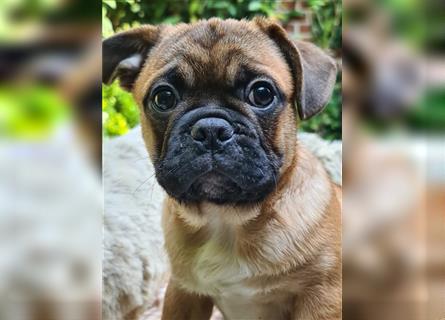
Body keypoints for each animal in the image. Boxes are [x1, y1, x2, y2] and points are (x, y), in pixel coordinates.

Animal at [103, 18, 340, 320]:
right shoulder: (184, 292)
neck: (227, 219)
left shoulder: (322, 297)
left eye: (262, 94)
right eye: (163, 97)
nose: (211, 129)